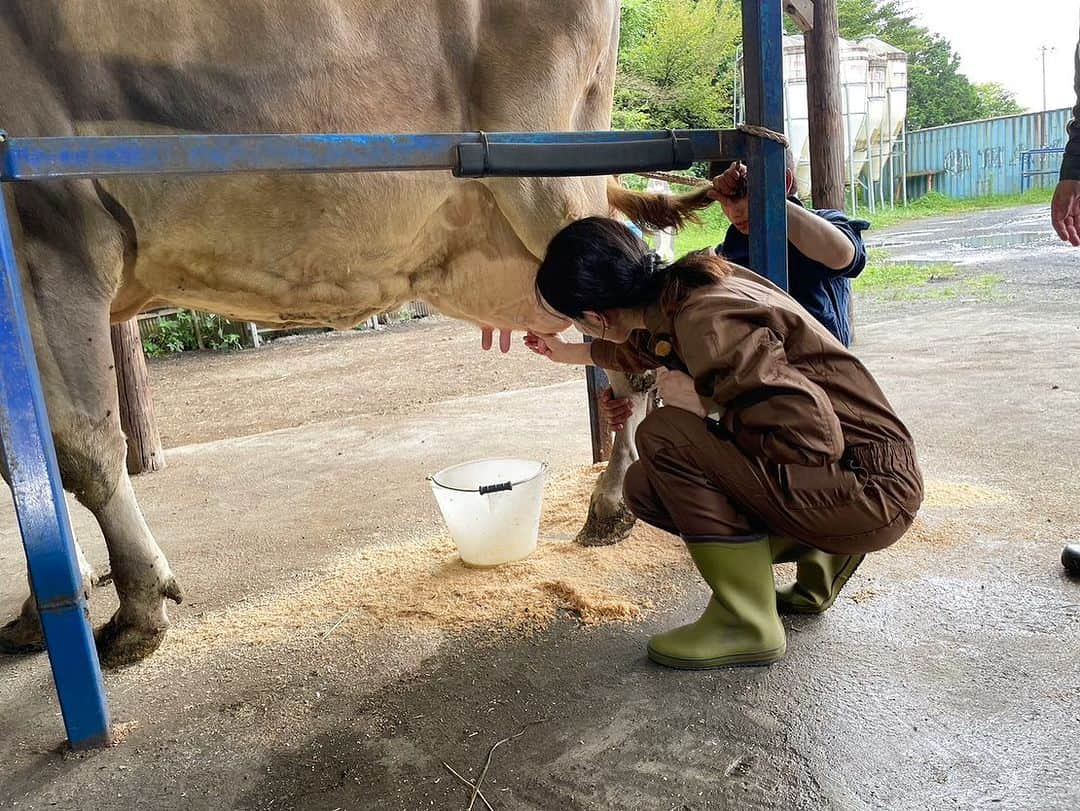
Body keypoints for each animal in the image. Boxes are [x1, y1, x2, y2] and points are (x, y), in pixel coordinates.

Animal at [0, 1, 708, 665]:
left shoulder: (52, 232)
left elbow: (78, 449)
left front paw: (136, 612)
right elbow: (22, 466)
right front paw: (44, 606)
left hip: (546, 175)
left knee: (631, 352)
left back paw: (610, 506)